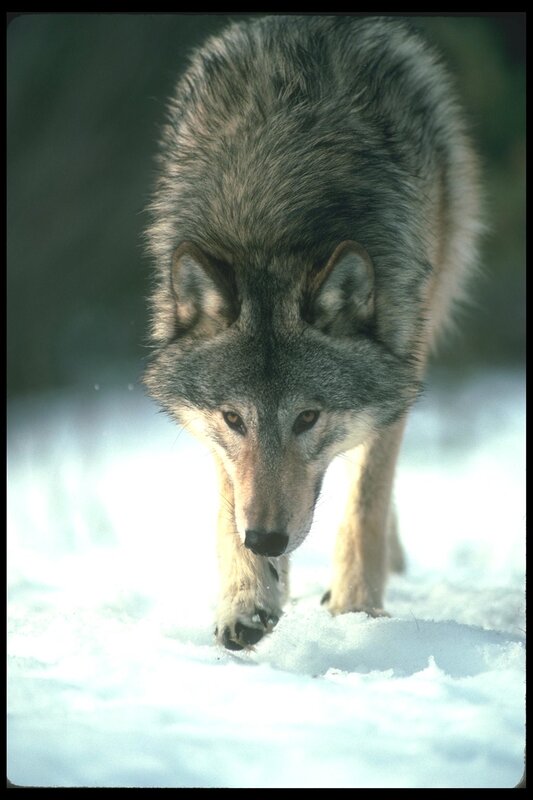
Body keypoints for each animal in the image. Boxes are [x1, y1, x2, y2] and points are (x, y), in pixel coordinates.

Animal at [143, 15, 481, 650]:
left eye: (307, 418)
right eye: (233, 418)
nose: (266, 540)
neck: (273, 226)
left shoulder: (400, 359)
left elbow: (364, 501)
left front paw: (355, 609)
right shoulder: (224, 451)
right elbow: (230, 504)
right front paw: (248, 599)